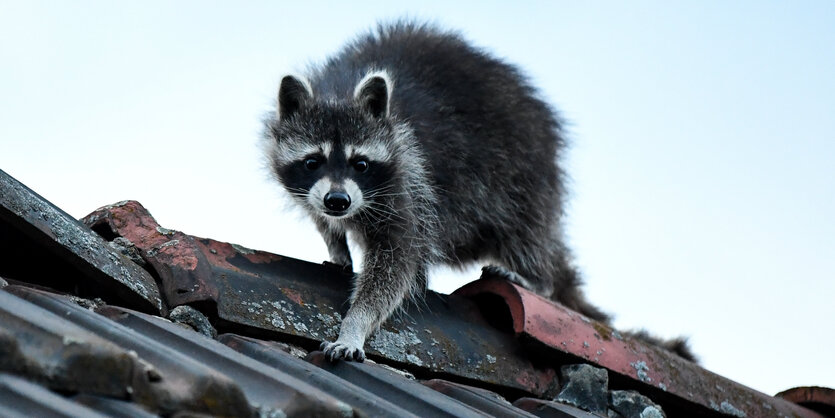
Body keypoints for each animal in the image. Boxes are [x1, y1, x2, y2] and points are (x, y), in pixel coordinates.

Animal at [268, 22, 692, 362]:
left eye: (361, 164)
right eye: (313, 162)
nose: (338, 201)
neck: (338, 90)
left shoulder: (409, 180)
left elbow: (395, 263)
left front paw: (356, 323)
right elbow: (327, 221)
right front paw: (336, 243)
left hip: (526, 170)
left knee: (527, 229)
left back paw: (537, 277)